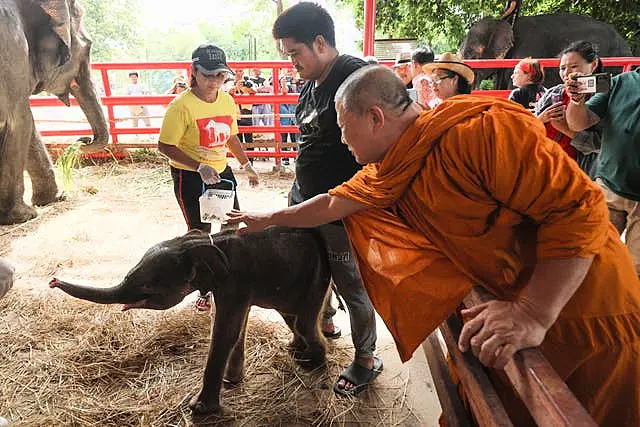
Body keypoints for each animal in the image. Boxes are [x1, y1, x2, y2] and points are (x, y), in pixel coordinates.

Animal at [0, 0, 109, 226]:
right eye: (88, 48)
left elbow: (30, 127)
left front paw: (56, 198)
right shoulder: (14, 53)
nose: (83, 139)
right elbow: (21, 121)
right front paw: (24, 215)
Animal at [49, 229, 330, 416]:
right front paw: (232, 381)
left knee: (303, 320)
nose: (52, 280)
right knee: (292, 318)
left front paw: (199, 409)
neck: (196, 243)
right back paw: (297, 351)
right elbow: (236, 328)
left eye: (148, 287)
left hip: (315, 279)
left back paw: (312, 362)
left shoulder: (236, 281)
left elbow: (226, 332)